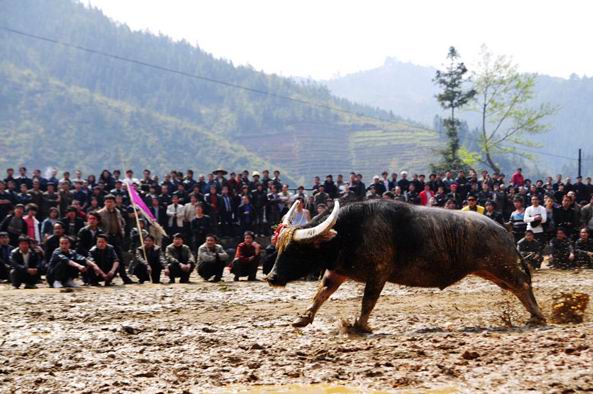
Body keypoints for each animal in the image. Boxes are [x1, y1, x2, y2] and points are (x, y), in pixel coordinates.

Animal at [268, 200, 544, 332]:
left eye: (296, 250)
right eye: (280, 248)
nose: (271, 277)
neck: (349, 231)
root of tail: (504, 231)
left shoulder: (378, 274)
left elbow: (368, 301)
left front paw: (360, 325)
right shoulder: (336, 271)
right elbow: (321, 293)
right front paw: (302, 319)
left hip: (502, 265)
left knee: (523, 284)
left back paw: (538, 317)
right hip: (494, 271)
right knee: (519, 286)